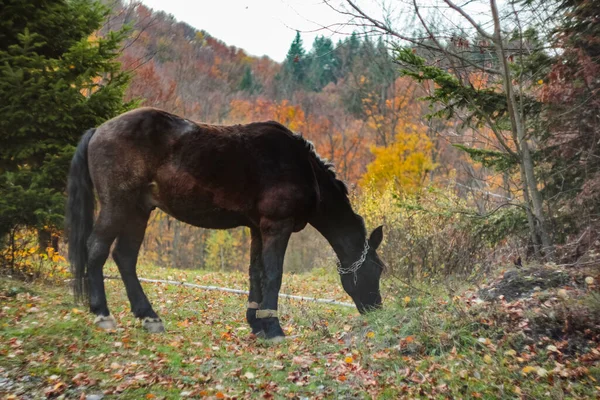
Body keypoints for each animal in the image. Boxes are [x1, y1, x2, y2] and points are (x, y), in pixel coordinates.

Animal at [65, 107, 384, 340]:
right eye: (378, 269)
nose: (376, 310)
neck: (303, 168)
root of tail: (98, 130)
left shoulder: (257, 228)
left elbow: (256, 273)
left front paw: (257, 323)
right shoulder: (276, 226)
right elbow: (274, 273)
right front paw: (274, 327)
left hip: (138, 211)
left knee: (124, 257)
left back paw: (150, 317)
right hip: (117, 206)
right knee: (97, 250)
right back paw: (103, 314)